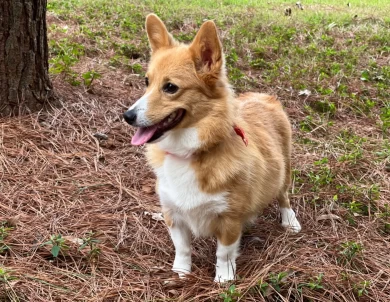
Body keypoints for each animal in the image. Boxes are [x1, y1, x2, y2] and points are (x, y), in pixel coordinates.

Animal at [123, 13, 300, 284]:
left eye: (170, 87)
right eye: (146, 82)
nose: (127, 116)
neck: (188, 153)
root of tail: (264, 96)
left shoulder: (228, 219)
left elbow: (223, 253)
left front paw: (224, 279)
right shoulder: (173, 214)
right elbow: (182, 248)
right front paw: (181, 273)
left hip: (285, 170)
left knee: (283, 196)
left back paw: (290, 221)